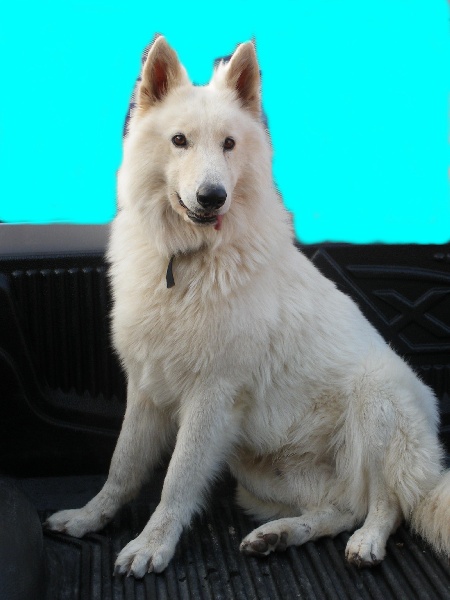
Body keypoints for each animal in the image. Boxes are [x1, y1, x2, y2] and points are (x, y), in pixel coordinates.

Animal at [45, 36, 450, 578]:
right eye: (179, 141)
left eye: (230, 145)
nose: (212, 197)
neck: (187, 260)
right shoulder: (146, 389)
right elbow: (122, 466)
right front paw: (90, 518)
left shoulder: (210, 398)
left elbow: (176, 479)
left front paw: (152, 545)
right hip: (259, 472)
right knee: (342, 507)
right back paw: (278, 535)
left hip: (377, 400)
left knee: (389, 502)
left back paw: (368, 541)